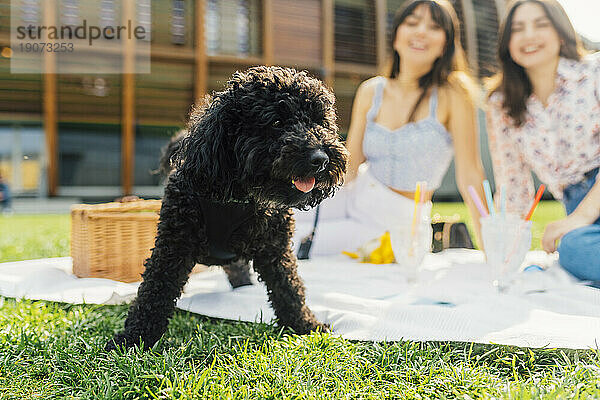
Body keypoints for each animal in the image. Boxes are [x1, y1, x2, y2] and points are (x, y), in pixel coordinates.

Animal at [106, 65, 350, 350]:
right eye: (276, 122)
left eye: (319, 122)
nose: (320, 159)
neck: (236, 196)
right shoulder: (174, 244)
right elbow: (155, 291)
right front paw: (134, 338)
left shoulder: (275, 249)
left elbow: (289, 288)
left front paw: (306, 326)